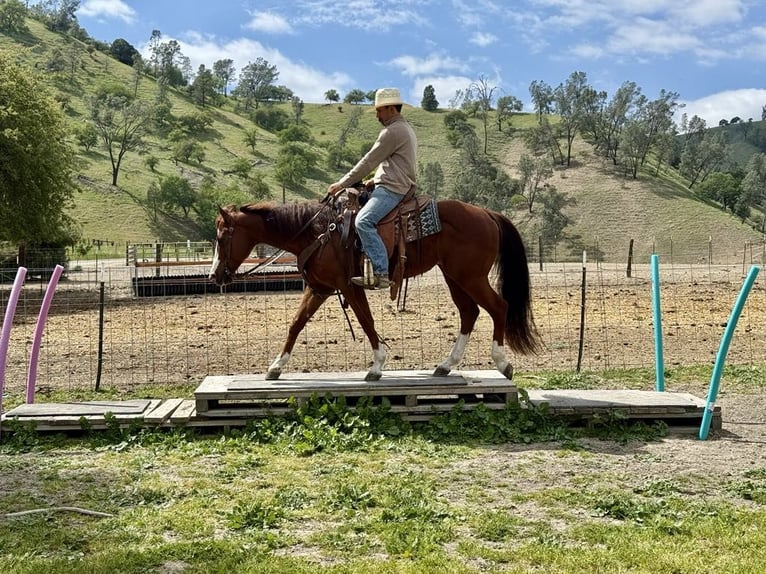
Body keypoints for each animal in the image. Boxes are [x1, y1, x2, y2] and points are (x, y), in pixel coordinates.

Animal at [209, 196, 540, 382]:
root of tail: (487, 214)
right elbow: (296, 323)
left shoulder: (349, 286)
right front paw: (276, 366)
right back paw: (445, 365)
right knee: (469, 313)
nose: (214, 276)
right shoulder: (319, 288)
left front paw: (377, 366)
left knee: (498, 307)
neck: (317, 234)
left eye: (222, 238)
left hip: (470, 276)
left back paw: (503, 363)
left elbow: (366, 322)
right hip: (454, 277)